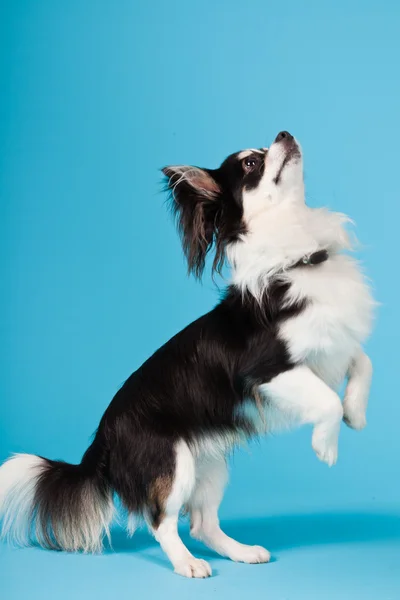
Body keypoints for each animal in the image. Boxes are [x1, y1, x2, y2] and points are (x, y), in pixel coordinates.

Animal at [0, 130, 376, 576]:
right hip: (173, 463)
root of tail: (102, 440)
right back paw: (188, 565)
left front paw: (356, 413)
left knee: (201, 523)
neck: (298, 258)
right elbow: (326, 400)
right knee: (161, 521)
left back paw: (242, 552)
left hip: (209, 464)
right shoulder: (269, 371)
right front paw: (326, 446)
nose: (283, 134)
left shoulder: (332, 344)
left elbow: (364, 362)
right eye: (252, 163)